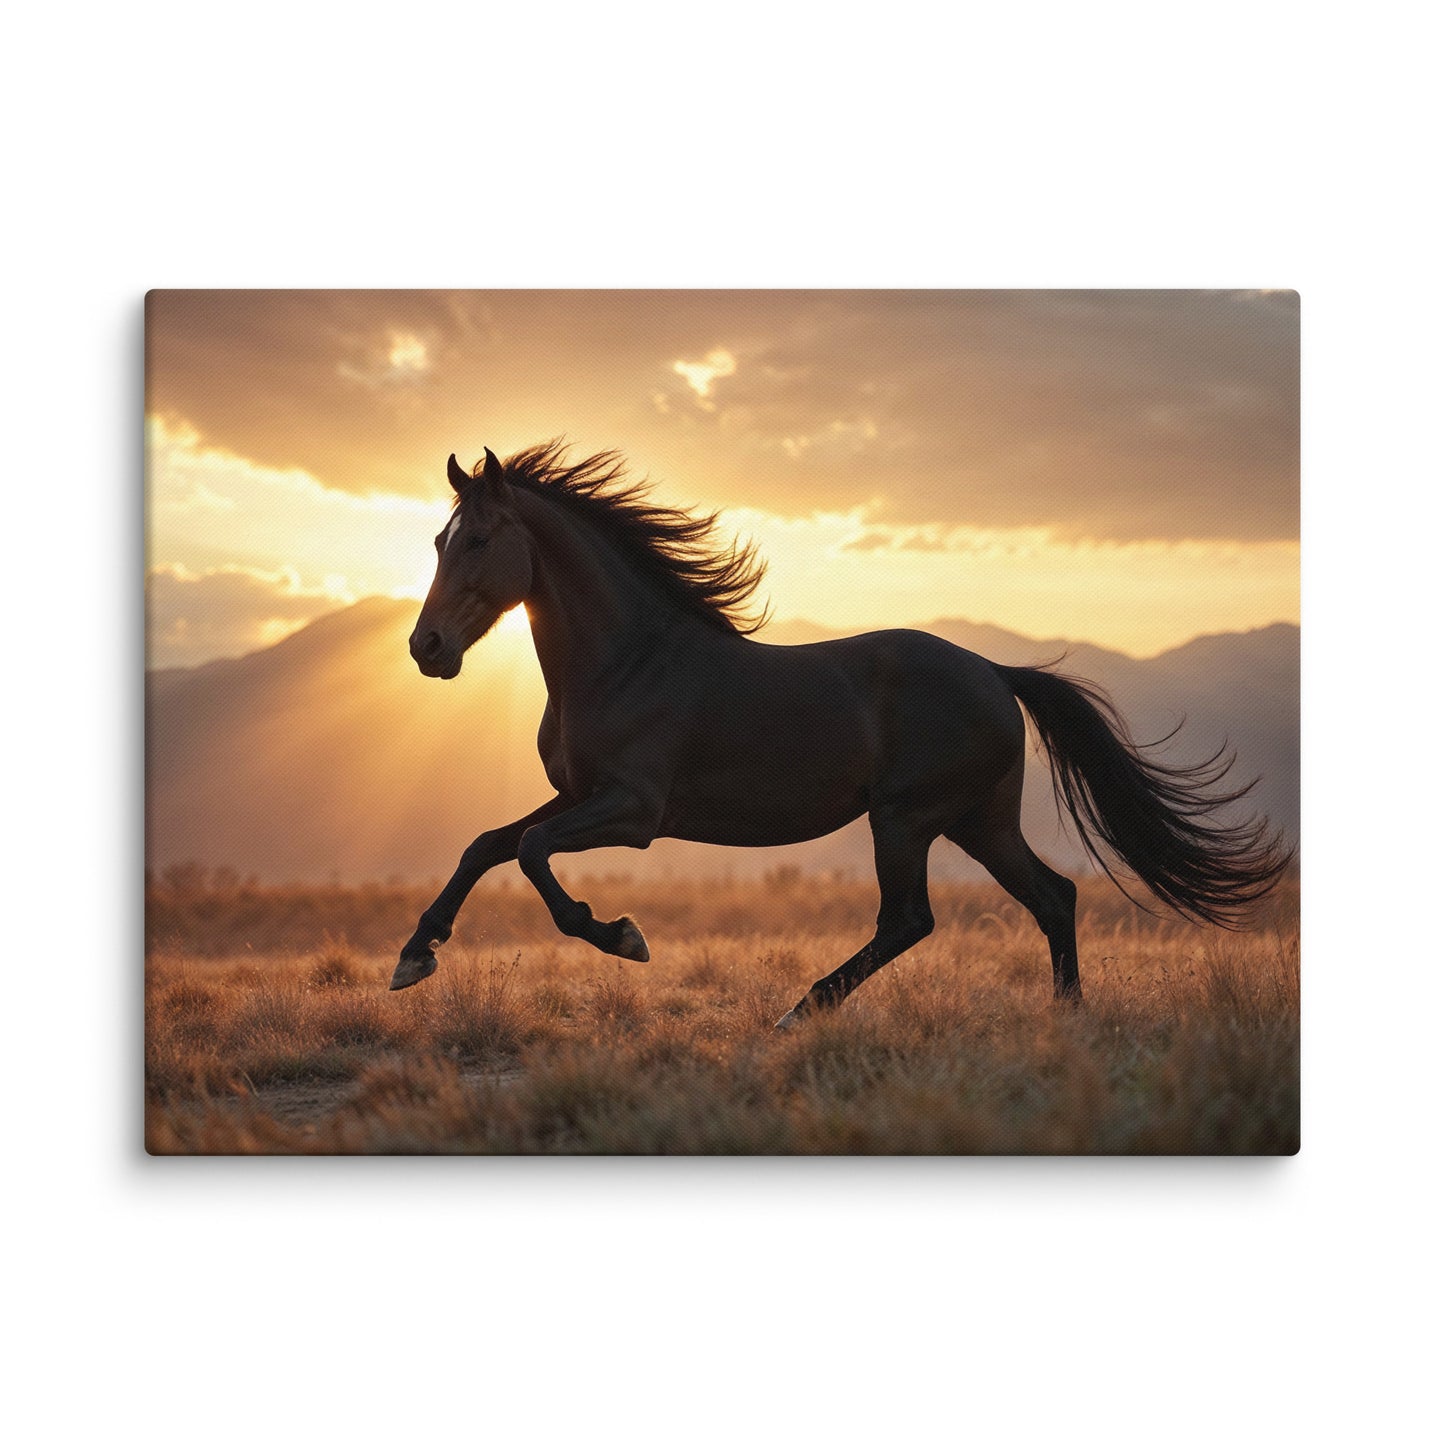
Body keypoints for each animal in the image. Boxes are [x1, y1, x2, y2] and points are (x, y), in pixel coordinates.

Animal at [390, 441, 1289, 1027]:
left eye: (478, 539)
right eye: (436, 540)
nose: (425, 648)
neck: (628, 658)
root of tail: (996, 674)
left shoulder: (632, 811)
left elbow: (532, 852)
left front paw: (621, 936)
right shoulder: (576, 794)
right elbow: (486, 844)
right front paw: (414, 955)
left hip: (906, 818)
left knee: (911, 919)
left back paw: (801, 1011)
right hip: (977, 821)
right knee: (1051, 894)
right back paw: (1066, 1017)